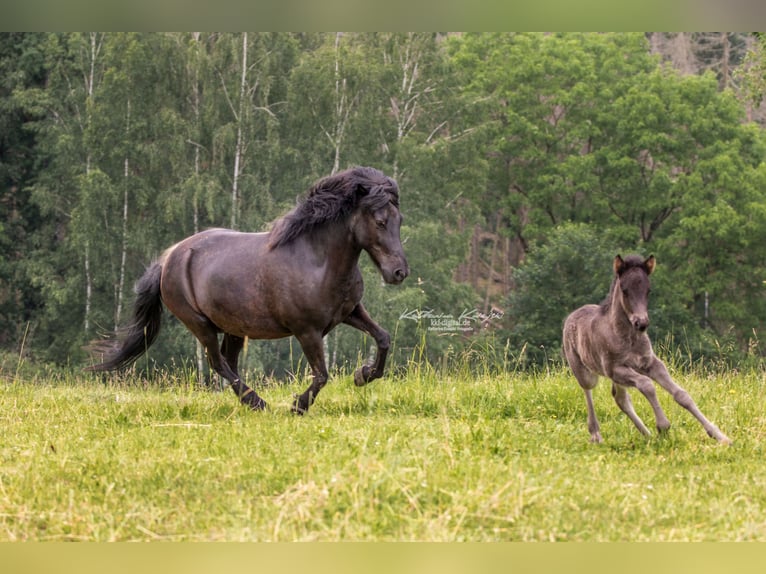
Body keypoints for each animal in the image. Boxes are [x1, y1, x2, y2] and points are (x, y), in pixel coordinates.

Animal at [87, 166, 412, 414]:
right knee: (217, 363)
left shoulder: (350, 312)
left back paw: (250, 402)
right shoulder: (307, 330)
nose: (398, 272)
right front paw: (297, 406)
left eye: (399, 220)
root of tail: (168, 258)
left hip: (233, 327)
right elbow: (321, 375)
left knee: (228, 363)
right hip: (200, 324)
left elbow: (383, 338)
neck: (317, 261)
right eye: (380, 221)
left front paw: (363, 375)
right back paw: (258, 402)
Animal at [564, 255, 732, 446]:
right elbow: (647, 384)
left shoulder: (650, 363)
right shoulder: (614, 369)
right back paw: (596, 434)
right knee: (588, 390)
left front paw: (720, 436)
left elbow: (681, 395)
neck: (628, 338)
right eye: (624, 290)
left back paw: (647, 435)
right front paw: (663, 426)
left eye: (648, 290)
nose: (641, 323)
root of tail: (571, 316)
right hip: (586, 372)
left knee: (620, 399)